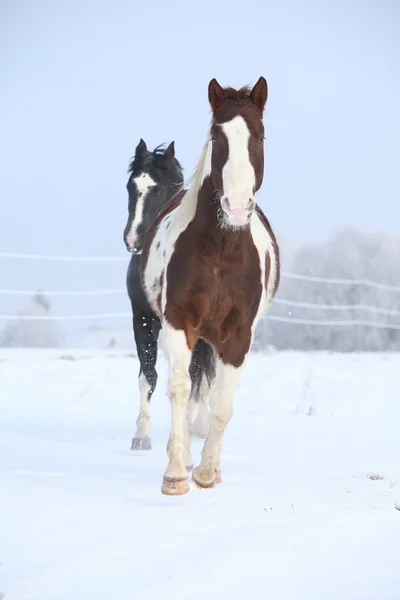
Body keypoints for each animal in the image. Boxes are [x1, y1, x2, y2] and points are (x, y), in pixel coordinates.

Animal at [124, 138, 212, 452]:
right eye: (131, 187)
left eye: (160, 189)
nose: (133, 239)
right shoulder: (142, 318)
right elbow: (147, 375)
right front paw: (140, 435)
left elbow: (194, 375)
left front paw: (187, 430)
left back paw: (198, 425)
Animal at [141, 77, 282, 494]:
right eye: (217, 138)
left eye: (260, 136)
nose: (236, 206)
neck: (221, 252)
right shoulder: (178, 323)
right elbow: (179, 389)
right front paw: (176, 472)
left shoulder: (238, 337)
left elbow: (222, 405)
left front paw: (207, 472)